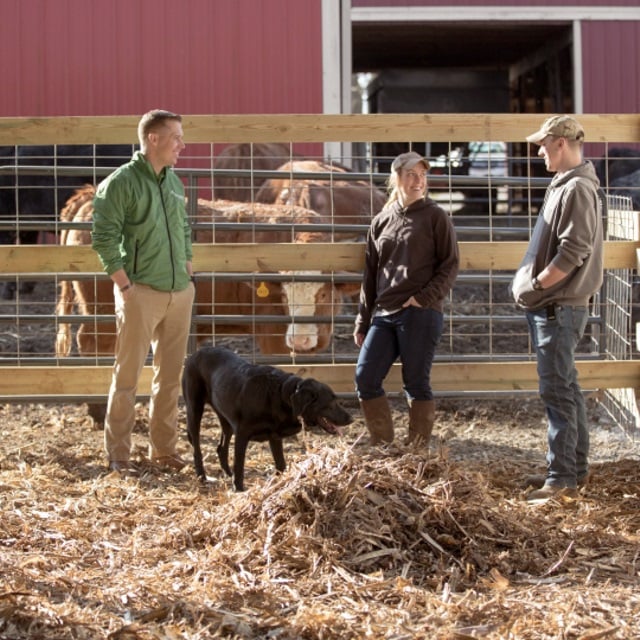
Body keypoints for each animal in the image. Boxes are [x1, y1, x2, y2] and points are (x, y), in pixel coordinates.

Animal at [180, 344, 352, 490]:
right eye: (330, 403)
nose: (351, 419)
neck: (282, 395)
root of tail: (196, 353)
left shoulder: (274, 437)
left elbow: (281, 465)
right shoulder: (242, 435)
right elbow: (239, 466)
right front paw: (239, 490)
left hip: (225, 419)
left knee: (221, 447)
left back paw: (228, 474)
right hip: (194, 410)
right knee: (197, 448)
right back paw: (202, 476)